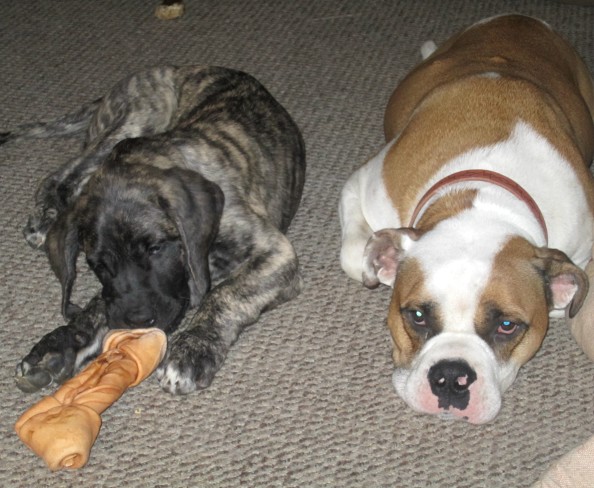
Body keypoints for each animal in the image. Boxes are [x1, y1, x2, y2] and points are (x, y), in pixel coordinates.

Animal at [5, 66, 306, 392]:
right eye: (97, 265)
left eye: (156, 248)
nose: (137, 320)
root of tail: (175, 68)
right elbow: (100, 302)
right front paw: (60, 344)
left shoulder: (275, 252)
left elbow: (225, 294)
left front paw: (193, 347)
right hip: (129, 124)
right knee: (61, 175)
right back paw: (46, 216)